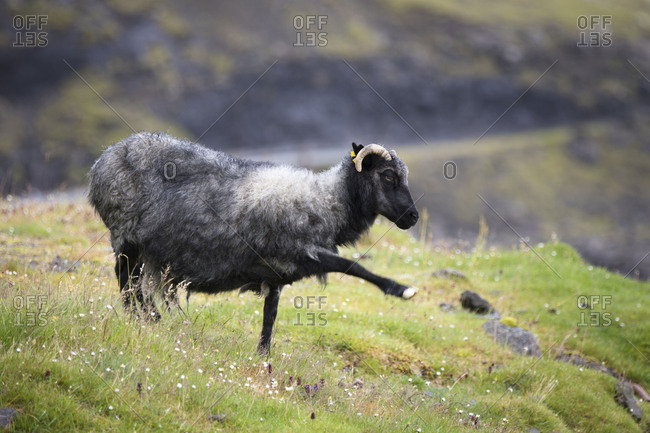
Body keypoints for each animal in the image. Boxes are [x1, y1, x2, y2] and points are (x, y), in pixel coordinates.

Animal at [88, 132, 420, 354]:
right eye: (388, 176)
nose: (414, 217)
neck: (326, 202)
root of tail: (105, 158)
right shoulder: (301, 251)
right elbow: (352, 266)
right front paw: (401, 289)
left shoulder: (278, 273)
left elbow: (269, 317)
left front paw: (263, 355)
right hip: (126, 234)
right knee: (125, 279)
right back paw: (144, 318)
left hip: (142, 246)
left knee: (133, 281)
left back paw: (150, 318)